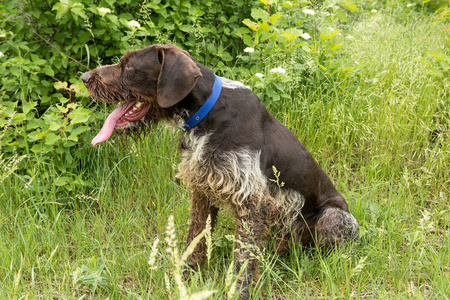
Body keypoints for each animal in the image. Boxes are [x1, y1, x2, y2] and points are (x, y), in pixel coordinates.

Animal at [81, 43, 358, 298]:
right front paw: (186, 276)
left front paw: (239, 292)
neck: (206, 115)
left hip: (336, 218)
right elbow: (196, 237)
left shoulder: (251, 202)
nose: (84, 78)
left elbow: (243, 259)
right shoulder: (202, 190)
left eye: (129, 66)